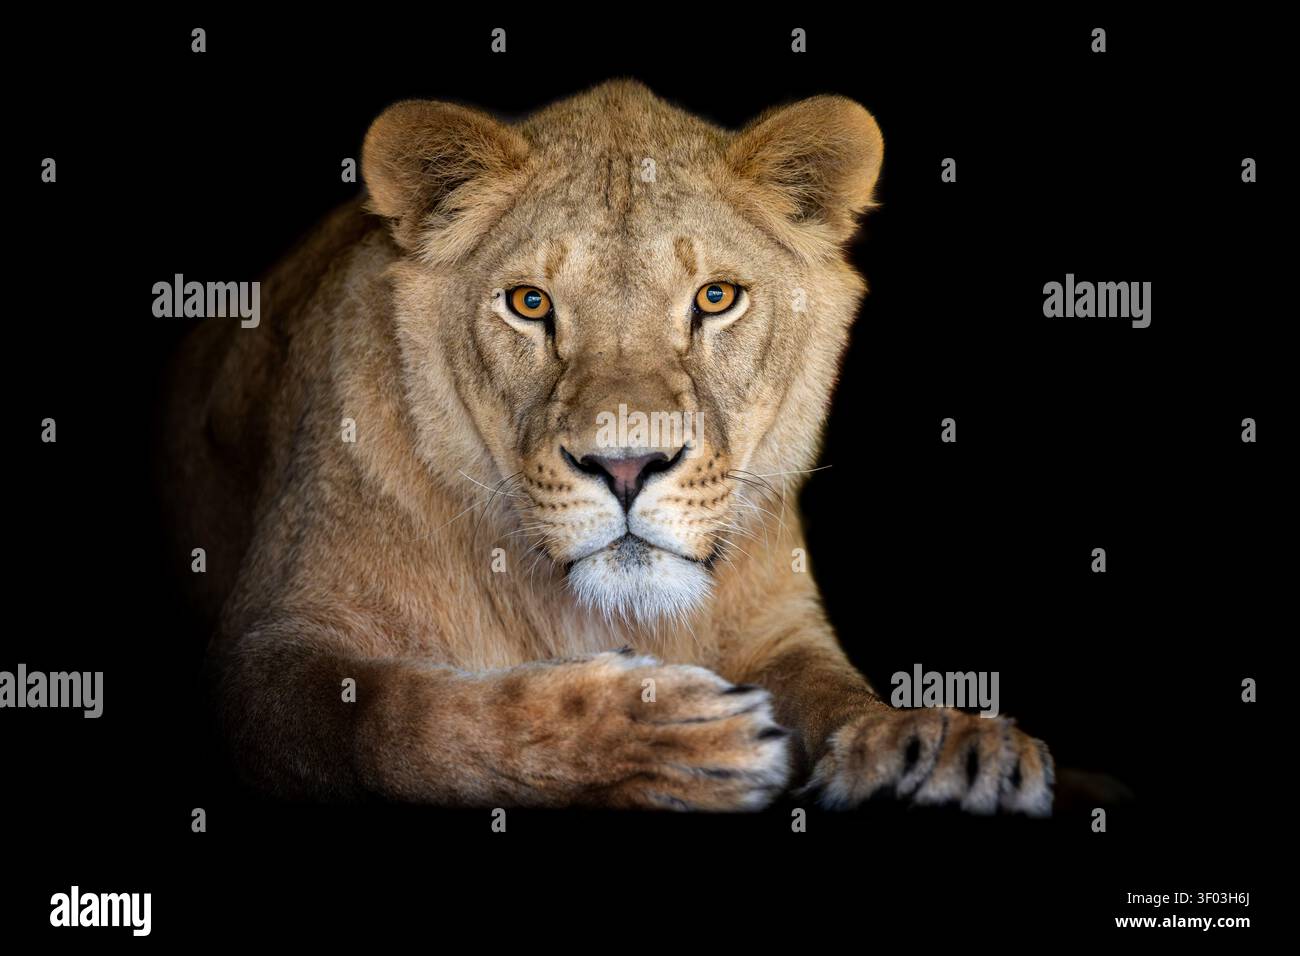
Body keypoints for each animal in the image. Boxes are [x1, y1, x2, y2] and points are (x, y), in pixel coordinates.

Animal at [163, 79, 1053, 813]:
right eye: (530, 303)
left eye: (715, 298)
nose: (626, 466)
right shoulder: (269, 655)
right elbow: (405, 720)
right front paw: (663, 735)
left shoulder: (778, 627)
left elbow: (834, 690)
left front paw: (936, 745)